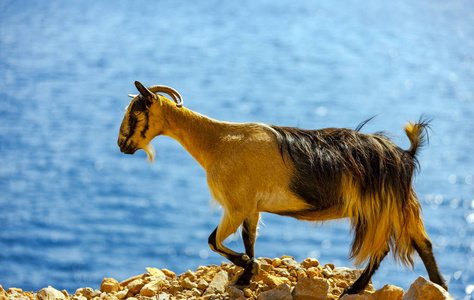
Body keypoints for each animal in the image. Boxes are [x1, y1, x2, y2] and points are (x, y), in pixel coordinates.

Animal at [116, 81, 446, 296]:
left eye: (135, 113)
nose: (122, 145)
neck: (217, 142)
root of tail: (405, 153)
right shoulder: (250, 208)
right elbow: (248, 239)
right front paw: (246, 276)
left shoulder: (236, 205)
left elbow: (213, 241)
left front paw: (247, 267)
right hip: (402, 203)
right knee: (422, 242)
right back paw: (439, 284)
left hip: (381, 205)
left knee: (384, 247)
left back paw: (356, 287)